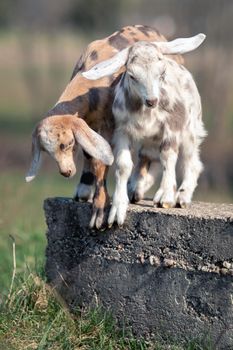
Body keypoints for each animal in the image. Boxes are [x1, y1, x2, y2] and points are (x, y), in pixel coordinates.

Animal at [83, 32, 207, 226]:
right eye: (132, 76)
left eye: (162, 73)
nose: (152, 101)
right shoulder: (121, 130)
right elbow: (123, 165)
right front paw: (118, 209)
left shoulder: (172, 125)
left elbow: (168, 156)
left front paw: (165, 198)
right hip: (152, 137)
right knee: (147, 155)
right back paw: (136, 188)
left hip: (191, 128)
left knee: (191, 161)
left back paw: (182, 197)